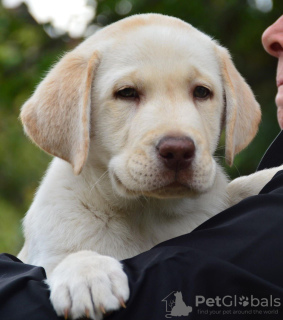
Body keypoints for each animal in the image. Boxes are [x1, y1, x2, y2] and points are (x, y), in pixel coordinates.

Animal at [18, 13, 282, 320]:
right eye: (127, 93)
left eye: (202, 92)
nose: (178, 150)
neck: (148, 213)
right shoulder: (48, 249)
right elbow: (69, 254)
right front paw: (87, 275)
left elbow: (239, 187)